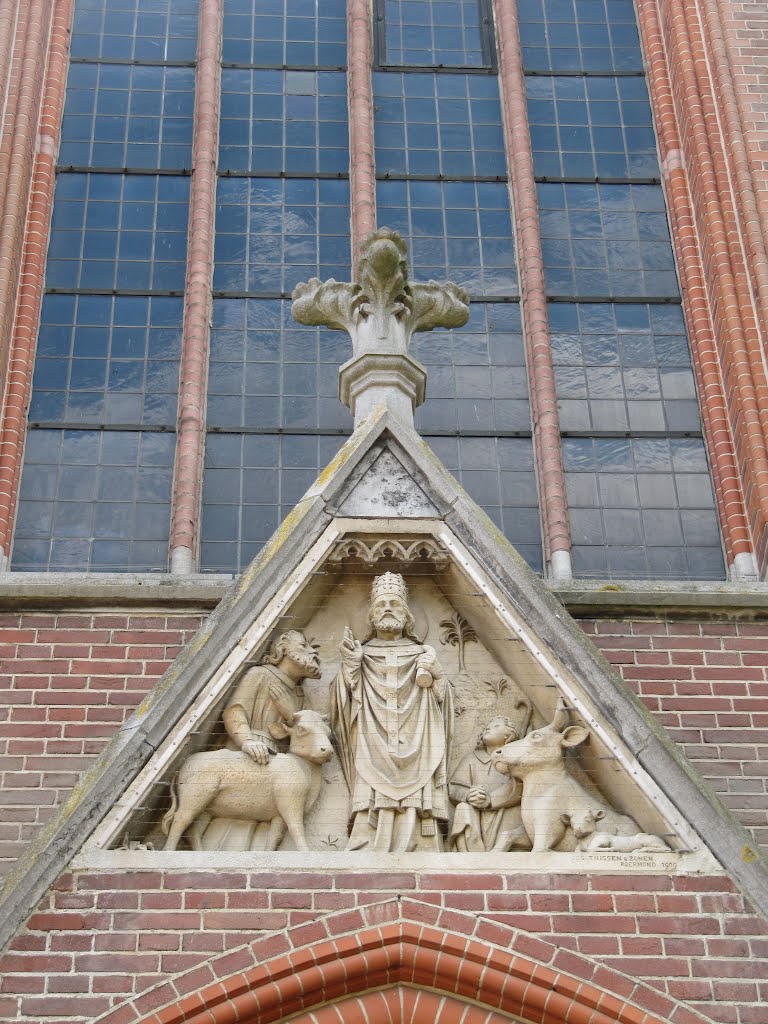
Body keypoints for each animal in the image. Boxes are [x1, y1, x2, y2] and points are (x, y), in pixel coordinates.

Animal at [160, 708, 331, 851]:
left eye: (328, 731)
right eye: (302, 729)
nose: (327, 750)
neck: (303, 767)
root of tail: (184, 765)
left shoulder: (279, 814)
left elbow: (274, 837)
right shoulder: (290, 800)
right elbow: (296, 828)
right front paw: (306, 853)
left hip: (206, 809)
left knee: (192, 829)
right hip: (196, 795)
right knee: (180, 820)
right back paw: (169, 851)